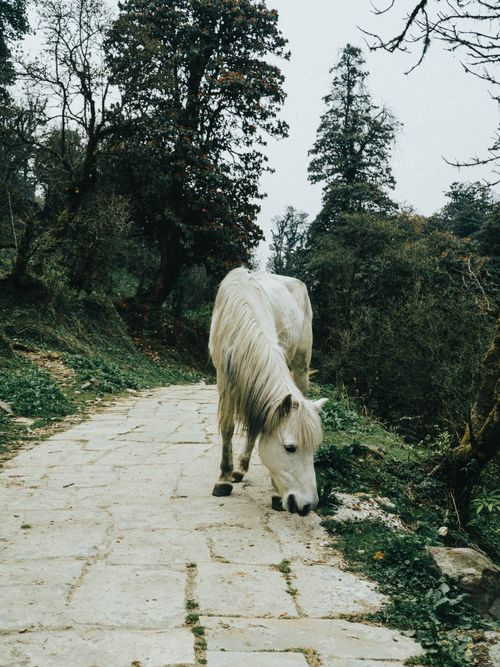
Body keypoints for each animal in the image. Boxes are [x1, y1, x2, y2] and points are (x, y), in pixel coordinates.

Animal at [208, 267, 327, 516]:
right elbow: (228, 428)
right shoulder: (223, 378)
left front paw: (276, 494)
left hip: (301, 365)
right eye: (290, 448)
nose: (308, 505)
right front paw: (223, 479)